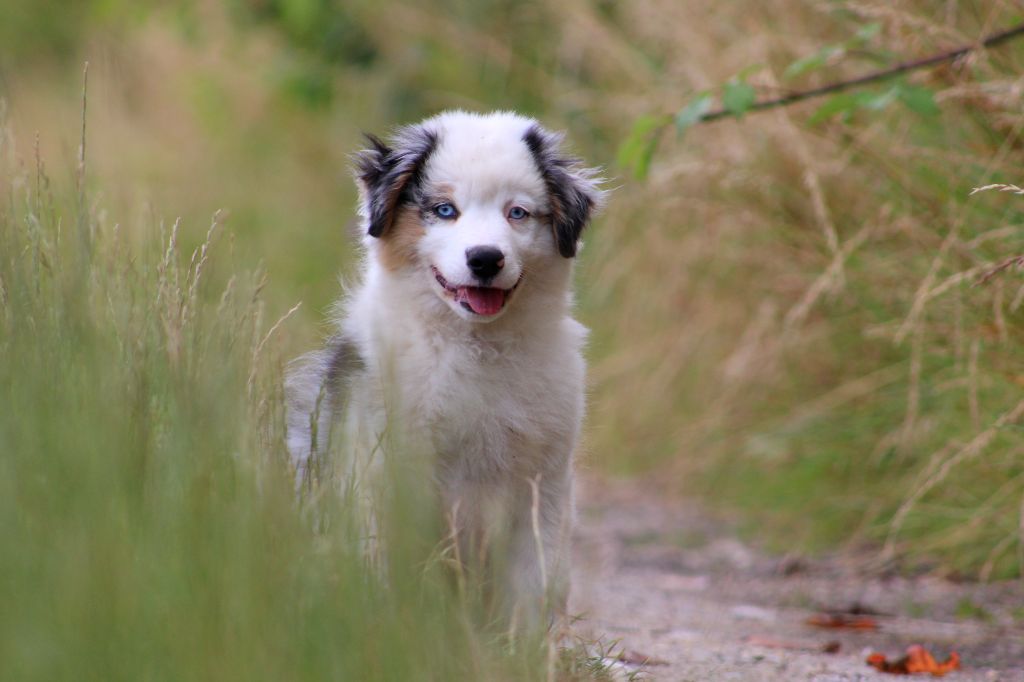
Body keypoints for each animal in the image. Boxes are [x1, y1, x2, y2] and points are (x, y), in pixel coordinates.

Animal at [286, 110, 604, 627]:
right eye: (444, 210)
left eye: (517, 213)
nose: (485, 258)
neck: (475, 346)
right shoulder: (378, 468)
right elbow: (382, 569)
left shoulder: (545, 479)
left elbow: (534, 580)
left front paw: (524, 644)